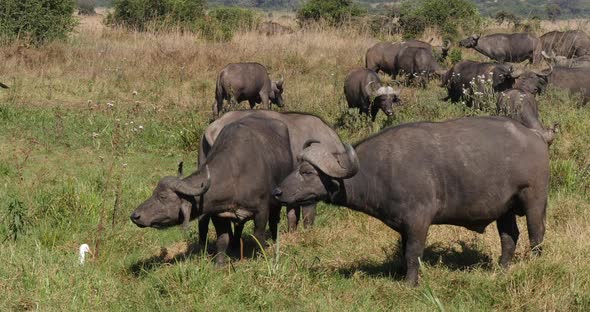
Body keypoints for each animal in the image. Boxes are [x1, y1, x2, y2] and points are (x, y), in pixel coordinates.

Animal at [131, 116, 294, 264]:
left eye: (163, 196)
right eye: (154, 193)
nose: (135, 216)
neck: (235, 174)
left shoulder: (261, 210)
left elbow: (258, 236)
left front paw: (261, 255)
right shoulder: (219, 214)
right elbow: (222, 239)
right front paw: (219, 264)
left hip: (276, 202)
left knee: (274, 221)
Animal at [276, 116, 552, 286]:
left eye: (308, 172)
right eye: (298, 167)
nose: (277, 191)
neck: (380, 170)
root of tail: (535, 137)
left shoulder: (419, 221)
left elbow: (413, 252)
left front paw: (410, 282)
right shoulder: (403, 225)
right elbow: (403, 250)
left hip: (534, 200)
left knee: (536, 234)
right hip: (504, 209)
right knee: (509, 236)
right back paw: (502, 268)